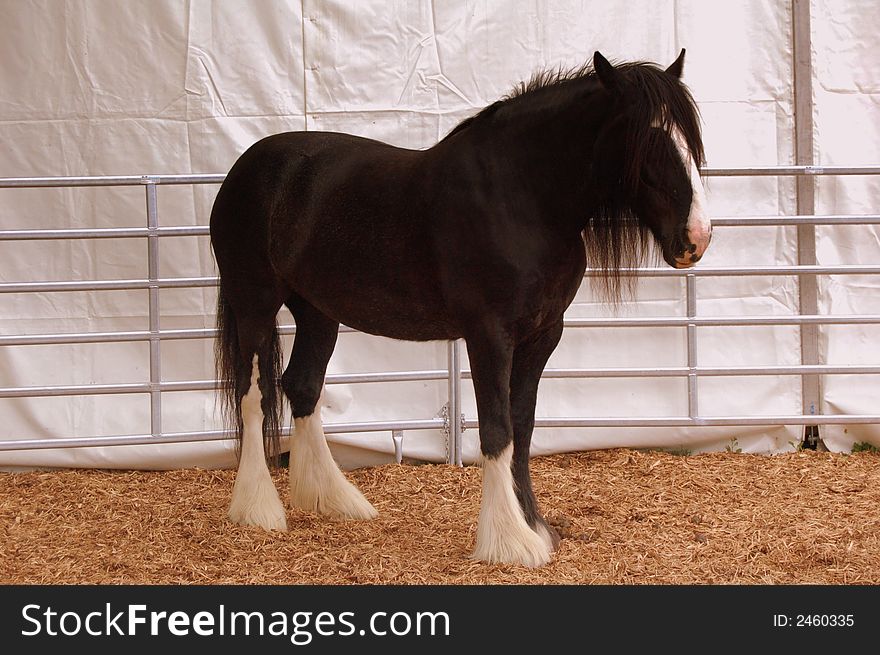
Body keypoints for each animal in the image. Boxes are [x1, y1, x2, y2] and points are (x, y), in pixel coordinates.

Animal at [211, 51, 708, 568]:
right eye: (647, 139)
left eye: (688, 136)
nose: (697, 237)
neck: (519, 197)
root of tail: (245, 168)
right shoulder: (490, 335)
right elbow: (496, 428)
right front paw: (509, 541)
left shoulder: (543, 334)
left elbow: (522, 426)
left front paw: (535, 527)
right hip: (254, 304)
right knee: (253, 395)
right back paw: (259, 509)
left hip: (318, 311)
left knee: (302, 386)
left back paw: (334, 499)